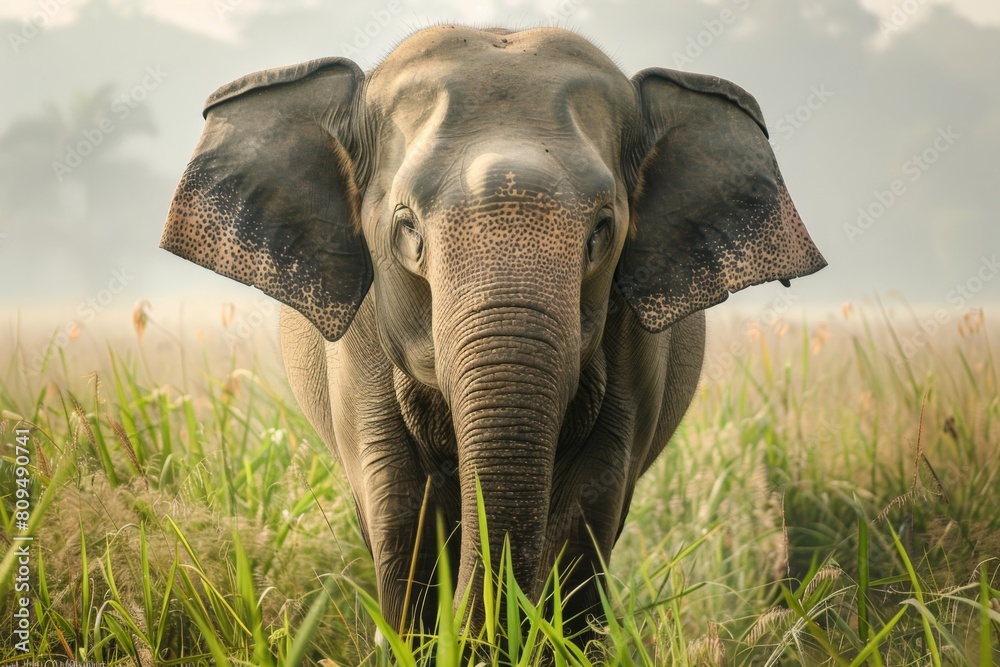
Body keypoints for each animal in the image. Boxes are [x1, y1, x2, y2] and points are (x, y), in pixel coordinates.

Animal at [160, 25, 826, 650]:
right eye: (407, 228)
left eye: (602, 231)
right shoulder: (357, 344)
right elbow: (398, 501)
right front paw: (422, 641)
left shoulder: (637, 351)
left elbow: (590, 502)